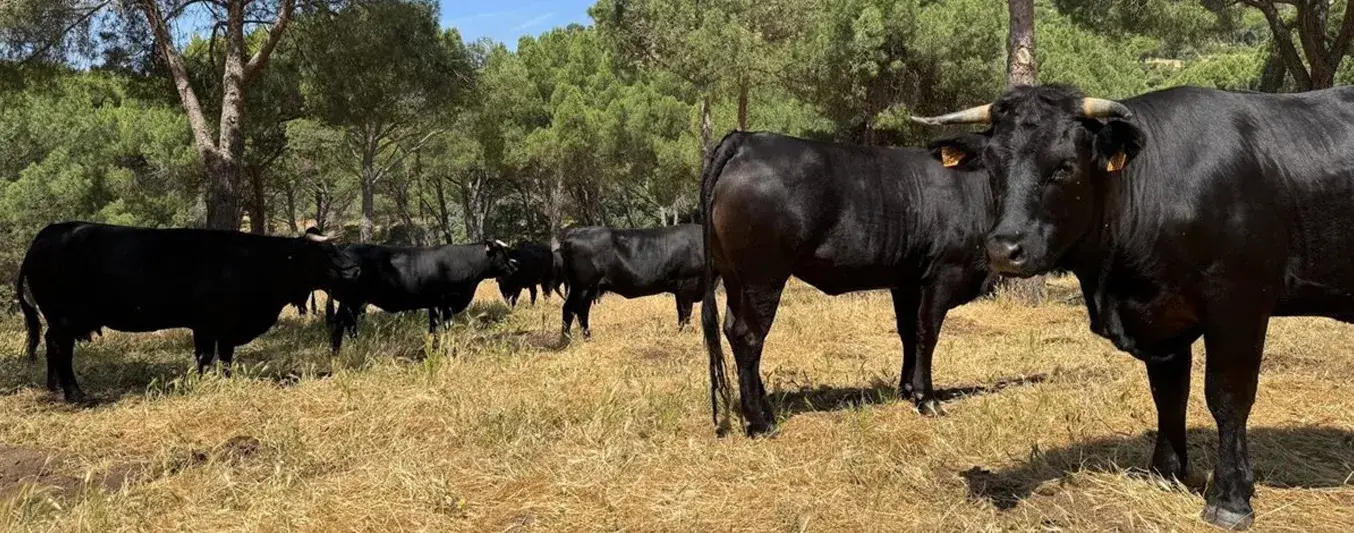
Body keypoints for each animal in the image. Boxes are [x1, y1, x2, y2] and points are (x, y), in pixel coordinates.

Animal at [14, 221, 360, 403]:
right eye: (325, 253)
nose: (354, 270)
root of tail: (47, 233)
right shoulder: (207, 324)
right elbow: (205, 357)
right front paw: (204, 382)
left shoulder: (225, 327)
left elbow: (225, 357)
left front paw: (225, 380)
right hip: (64, 318)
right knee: (60, 348)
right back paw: (75, 394)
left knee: (53, 346)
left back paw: (55, 388)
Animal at [325, 240, 517, 354]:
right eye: (501, 254)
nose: (514, 267)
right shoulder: (446, 302)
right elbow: (446, 326)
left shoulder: (434, 304)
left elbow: (433, 328)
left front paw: (433, 346)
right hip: (351, 301)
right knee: (345, 324)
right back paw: (345, 349)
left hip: (351, 302)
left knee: (344, 324)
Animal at [555, 224, 705, 338]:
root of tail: (574, 233)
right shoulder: (688, 282)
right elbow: (686, 311)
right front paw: (685, 334)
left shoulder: (679, 288)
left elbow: (680, 311)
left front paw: (680, 332)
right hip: (582, 287)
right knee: (571, 308)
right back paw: (568, 339)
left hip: (588, 289)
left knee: (580, 310)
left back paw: (583, 337)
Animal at [699, 131, 999, 438]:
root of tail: (745, 140)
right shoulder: (943, 275)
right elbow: (927, 333)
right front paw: (927, 399)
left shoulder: (906, 282)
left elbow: (908, 332)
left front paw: (907, 390)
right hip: (763, 276)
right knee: (748, 336)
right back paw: (760, 424)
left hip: (734, 277)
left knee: (731, 329)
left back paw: (766, 412)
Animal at [912, 84, 1354, 530]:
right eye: (992, 166)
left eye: (1064, 166)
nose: (1003, 249)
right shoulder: (1162, 320)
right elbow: (1169, 393)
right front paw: (1164, 472)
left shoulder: (1239, 305)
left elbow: (1227, 397)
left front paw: (1230, 498)